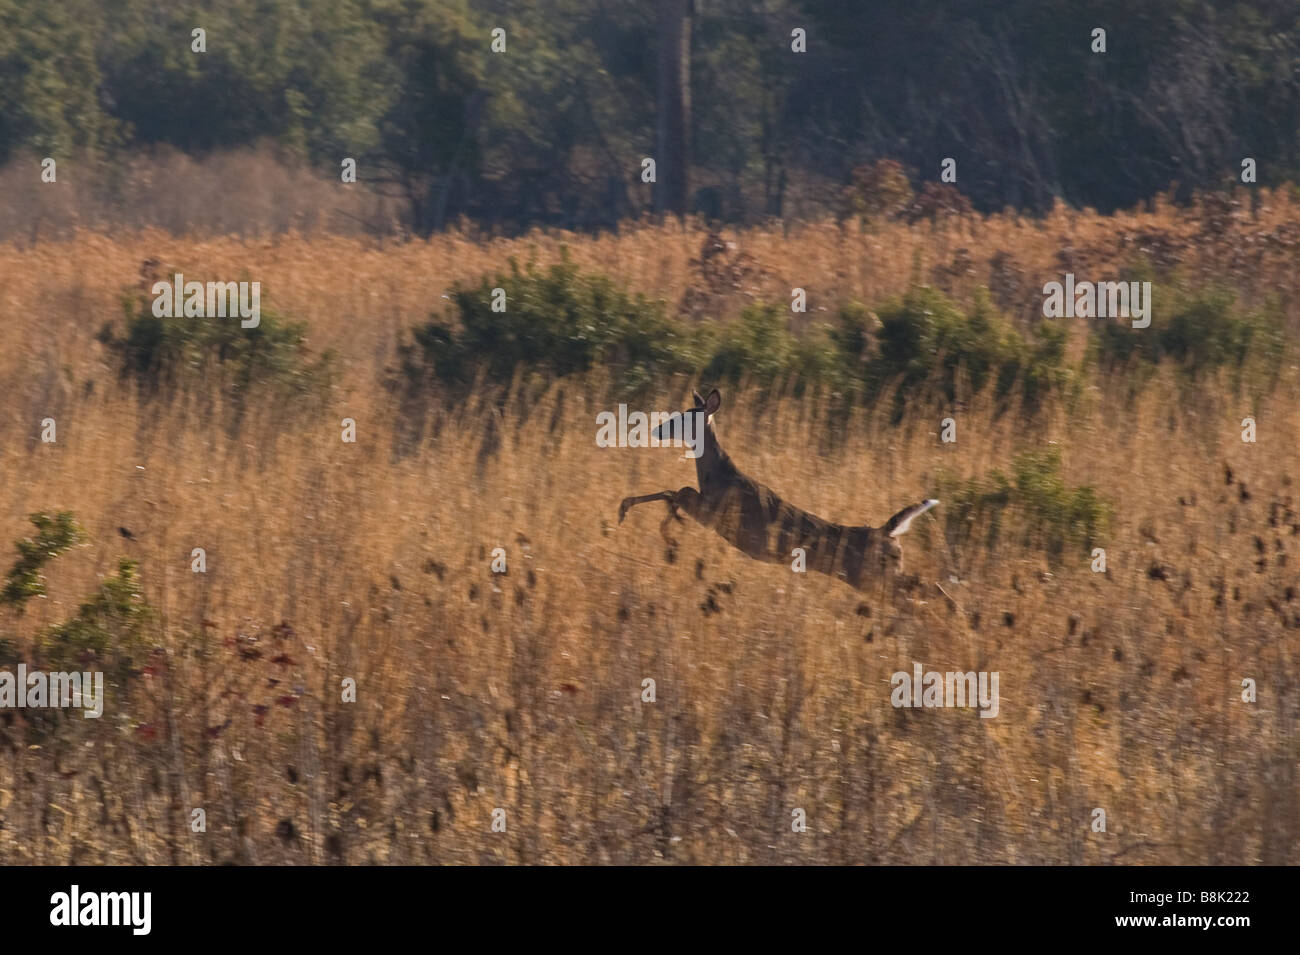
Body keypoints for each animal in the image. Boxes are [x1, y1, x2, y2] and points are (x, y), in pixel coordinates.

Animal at [617, 388, 939, 593]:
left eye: (684, 417)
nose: (658, 429)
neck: (717, 476)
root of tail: (887, 533)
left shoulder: (714, 514)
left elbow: (677, 491)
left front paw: (641, 518)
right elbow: (673, 492)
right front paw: (664, 535)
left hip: (872, 577)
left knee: (920, 590)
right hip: (879, 576)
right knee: (925, 586)